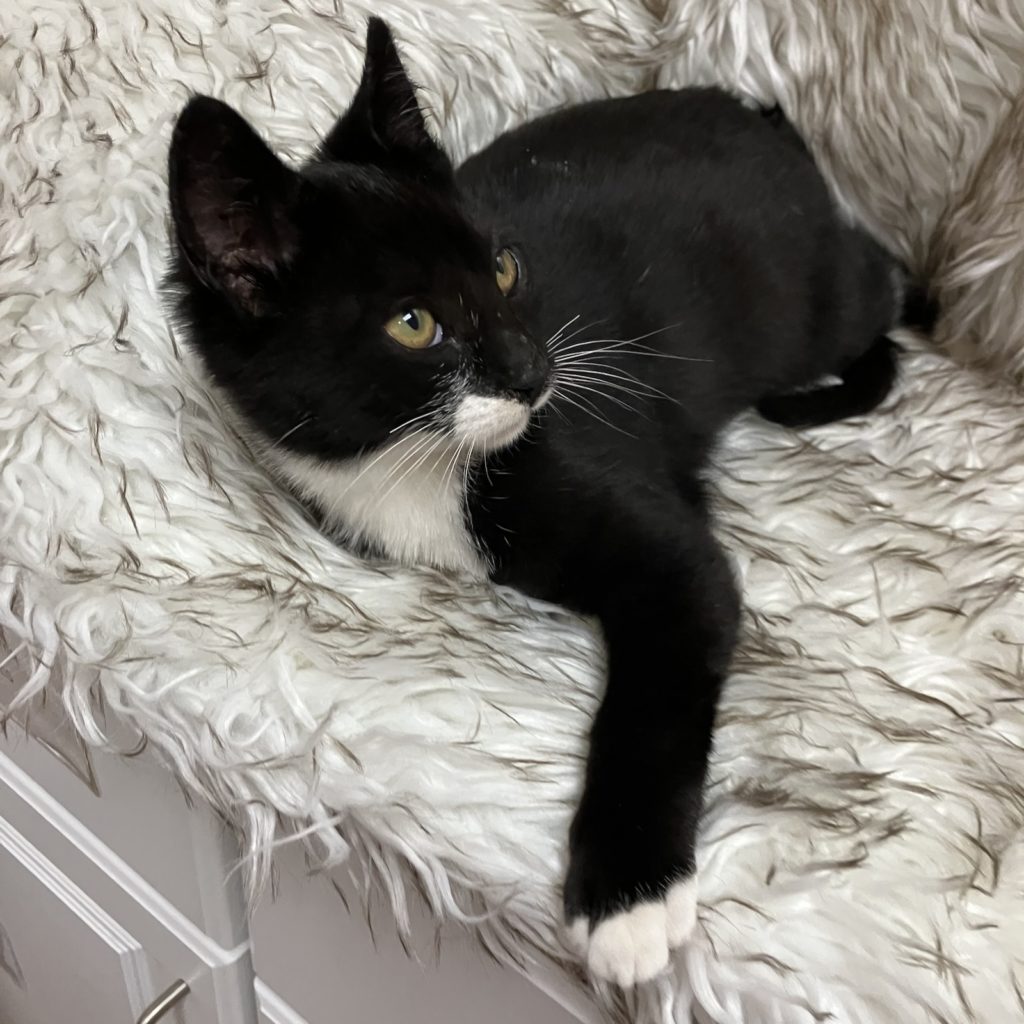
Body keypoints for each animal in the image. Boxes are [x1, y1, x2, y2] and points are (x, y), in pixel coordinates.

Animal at [167, 17, 927, 988]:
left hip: (813, 303)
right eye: (413, 323)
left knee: (880, 278)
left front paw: (629, 901)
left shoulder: (665, 547)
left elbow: (658, 691)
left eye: (503, 267)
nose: (536, 371)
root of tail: (759, 114)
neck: (417, 464)